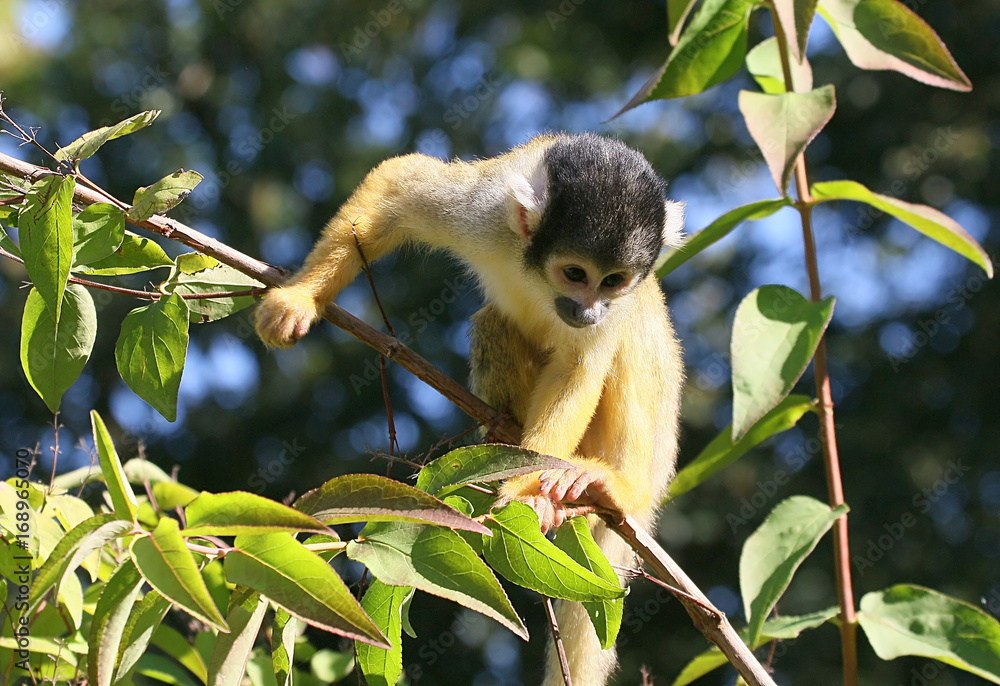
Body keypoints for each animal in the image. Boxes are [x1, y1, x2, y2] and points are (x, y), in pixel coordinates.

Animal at [254, 133, 684, 686]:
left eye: (612, 281)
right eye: (576, 274)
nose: (589, 310)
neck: (537, 274)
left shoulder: (617, 302)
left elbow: (579, 367)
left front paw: (525, 490)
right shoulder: (485, 211)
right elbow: (400, 186)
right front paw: (300, 299)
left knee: (634, 341)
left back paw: (615, 485)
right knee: (492, 320)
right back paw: (502, 429)